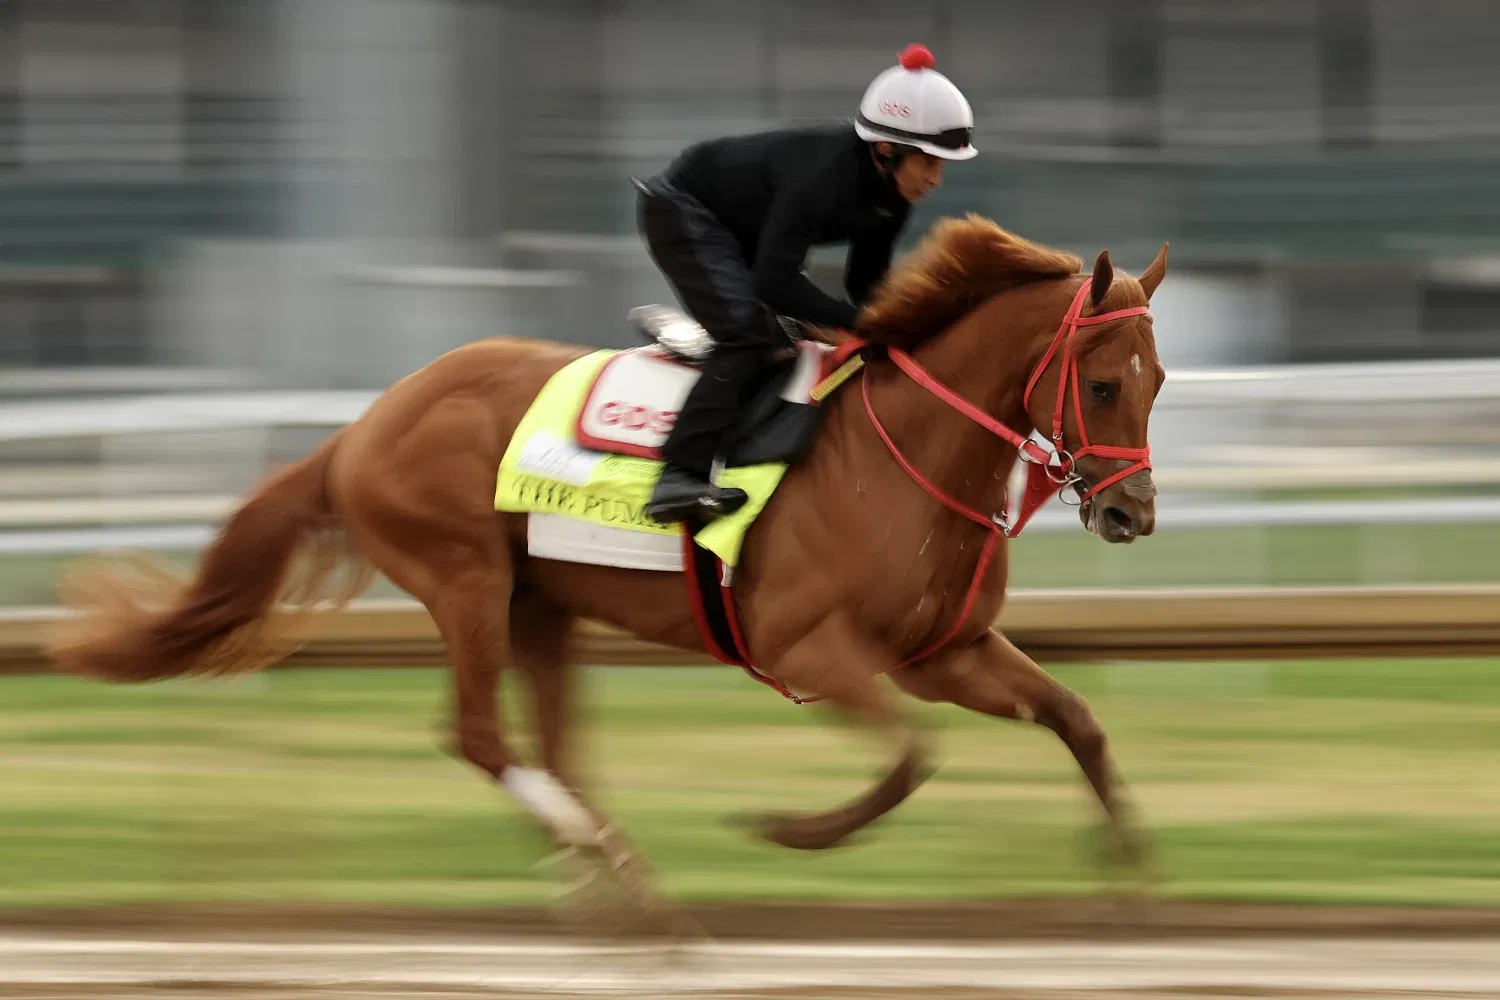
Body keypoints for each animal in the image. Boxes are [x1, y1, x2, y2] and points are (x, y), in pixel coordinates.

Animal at [45, 214, 1168, 931]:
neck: (901, 452)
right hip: (464, 581)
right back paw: (630, 882)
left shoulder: (945, 649)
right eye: (1104, 383)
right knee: (481, 736)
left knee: (553, 748)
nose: (1130, 514)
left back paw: (607, 879)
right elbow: (908, 760)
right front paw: (789, 830)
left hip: (539, 604)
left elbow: (1075, 718)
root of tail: (363, 425)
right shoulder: (810, 646)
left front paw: (1127, 873)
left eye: (1159, 382)